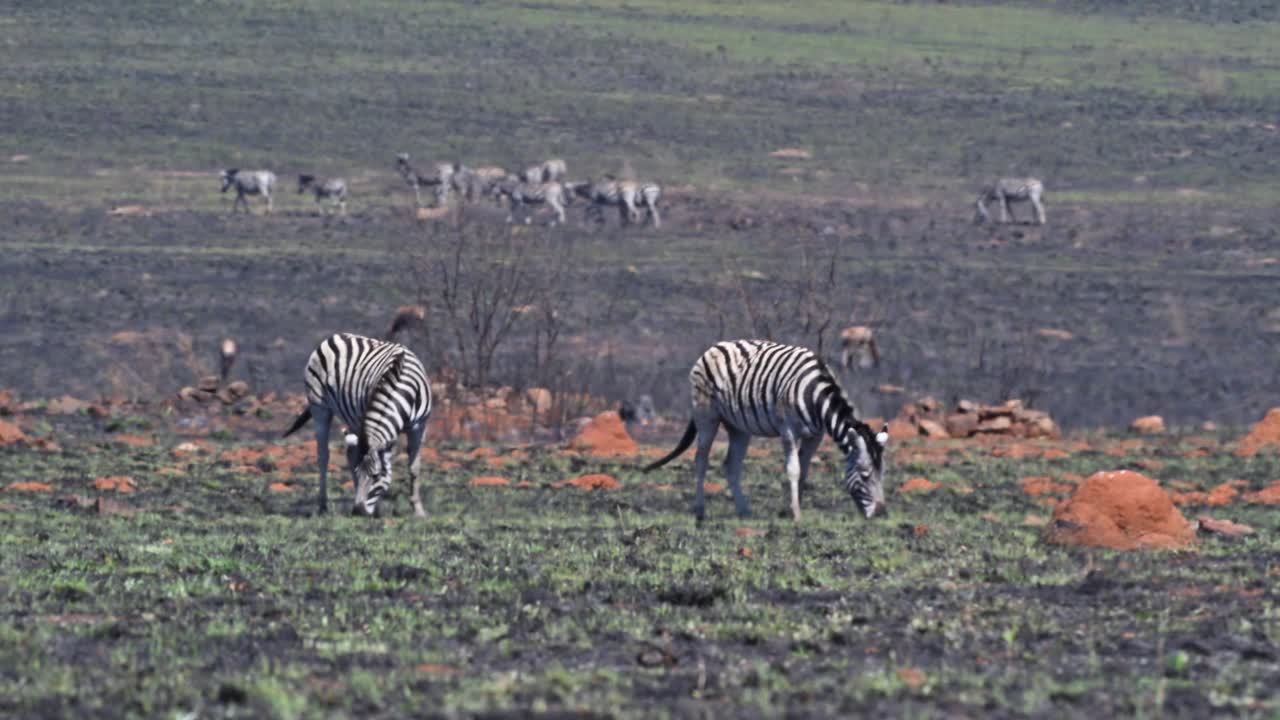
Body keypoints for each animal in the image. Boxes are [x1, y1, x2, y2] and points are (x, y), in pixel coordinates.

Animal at [282, 333, 432, 515]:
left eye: (376, 476)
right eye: (359, 473)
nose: (358, 511)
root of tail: (334, 337)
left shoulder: (420, 427)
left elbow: (414, 467)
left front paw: (418, 510)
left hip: (353, 419)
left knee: (351, 452)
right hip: (319, 407)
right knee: (323, 456)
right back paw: (323, 506)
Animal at [640, 338, 890, 517]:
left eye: (882, 474)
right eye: (866, 475)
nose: (881, 513)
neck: (816, 396)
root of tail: (714, 347)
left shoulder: (815, 436)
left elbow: (804, 471)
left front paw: (793, 508)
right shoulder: (788, 430)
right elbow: (793, 469)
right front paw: (795, 514)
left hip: (738, 427)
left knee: (731, 465)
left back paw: (744, 511)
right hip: (706, 415)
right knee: (701, 460)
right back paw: (700, 511)